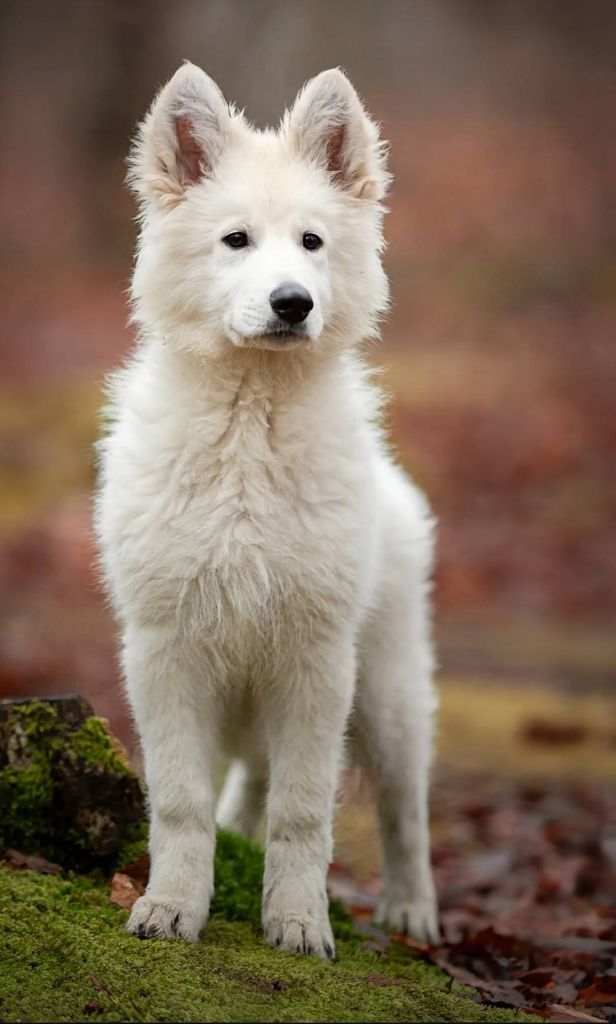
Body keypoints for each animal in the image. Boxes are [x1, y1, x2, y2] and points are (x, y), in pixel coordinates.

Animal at [96, 61, 435, 958]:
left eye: (312, 243)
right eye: (236, 241)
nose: (292, 303)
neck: (251, 421)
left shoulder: (316, 661)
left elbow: (304, 813)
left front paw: (297, 921)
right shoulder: (166, 652)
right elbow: (180, 804)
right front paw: (172, 907)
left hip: (386, 695)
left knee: (406, 808)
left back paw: (413, 911)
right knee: (246, 786)